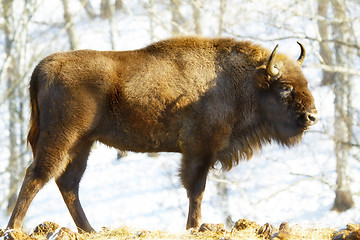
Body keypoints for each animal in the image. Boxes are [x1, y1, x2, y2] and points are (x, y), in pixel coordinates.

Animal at [7, 36, 318, 232]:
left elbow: (195, 191)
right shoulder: (199, 151)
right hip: (61, 139)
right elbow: (196, 190)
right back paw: (14, 228)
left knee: (67, 183)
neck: (242, 82)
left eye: (305, 83)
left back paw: (90, 230)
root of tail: (43, 67)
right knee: (37, 176)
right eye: (285, 87)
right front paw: (194, 227)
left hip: (82, 144)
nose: (313, 116)